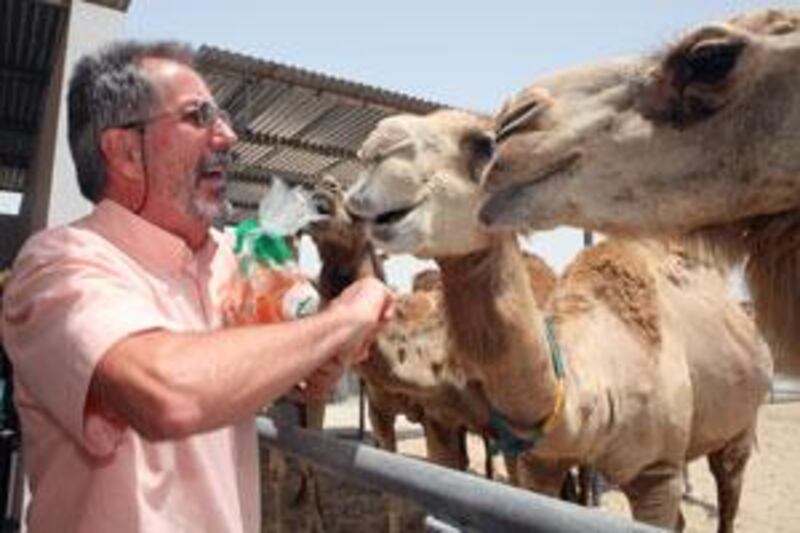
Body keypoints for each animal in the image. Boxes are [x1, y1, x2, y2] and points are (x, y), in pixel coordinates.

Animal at [348, 109, 776, 532]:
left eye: (485, 145)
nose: (376, 148)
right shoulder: (539, 463)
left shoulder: (657, 473)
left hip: (740, 427)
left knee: (728, 493)